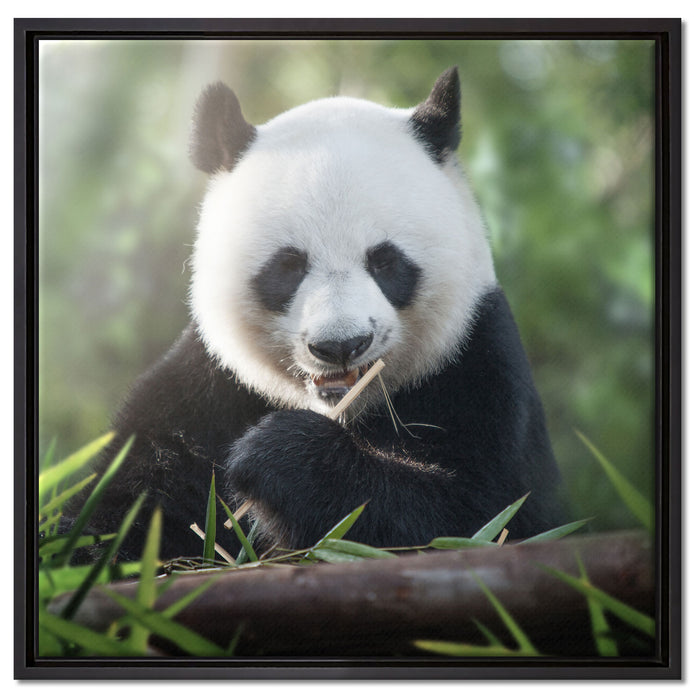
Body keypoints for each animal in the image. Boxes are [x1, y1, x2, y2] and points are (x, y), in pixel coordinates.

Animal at [69, 67, 565, 562]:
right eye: (288, 266)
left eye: (385, 261)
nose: (341, 345)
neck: (341, 409)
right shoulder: (209, 389)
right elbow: (124, 503)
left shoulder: (476, 366)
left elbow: (479, 515)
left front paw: (279, 456)